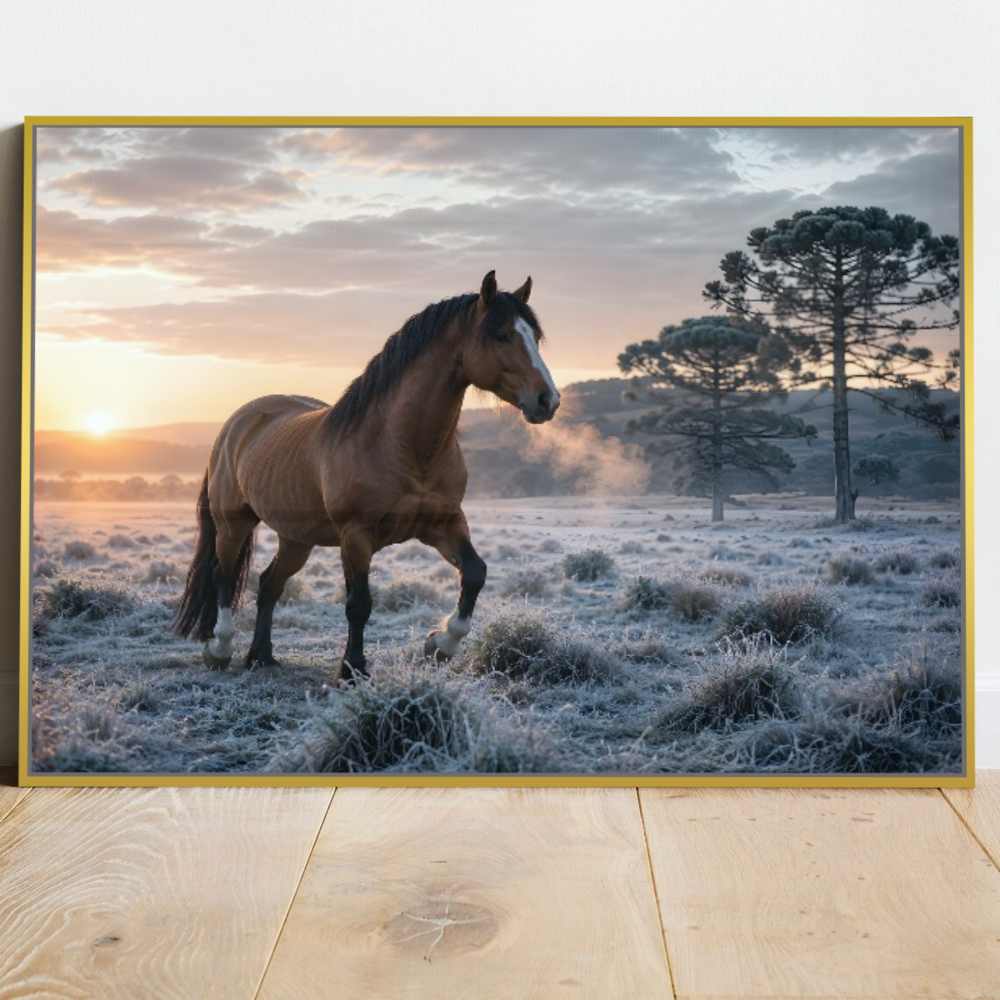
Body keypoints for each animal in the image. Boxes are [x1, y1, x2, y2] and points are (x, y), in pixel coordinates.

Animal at [172, 271, 560, 682]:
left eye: (534, 337)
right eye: (501, 335)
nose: (547, 400)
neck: (402, 446)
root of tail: (239, 422)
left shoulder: (444, 523)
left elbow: (474, 573)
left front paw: (440, 644)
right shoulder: (356, 535)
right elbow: (359, 603)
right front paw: (352, 668)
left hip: (296, 538)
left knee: (268, 585)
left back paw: (262, 656)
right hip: (234, 523)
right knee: (225, 577)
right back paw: (220, 649)